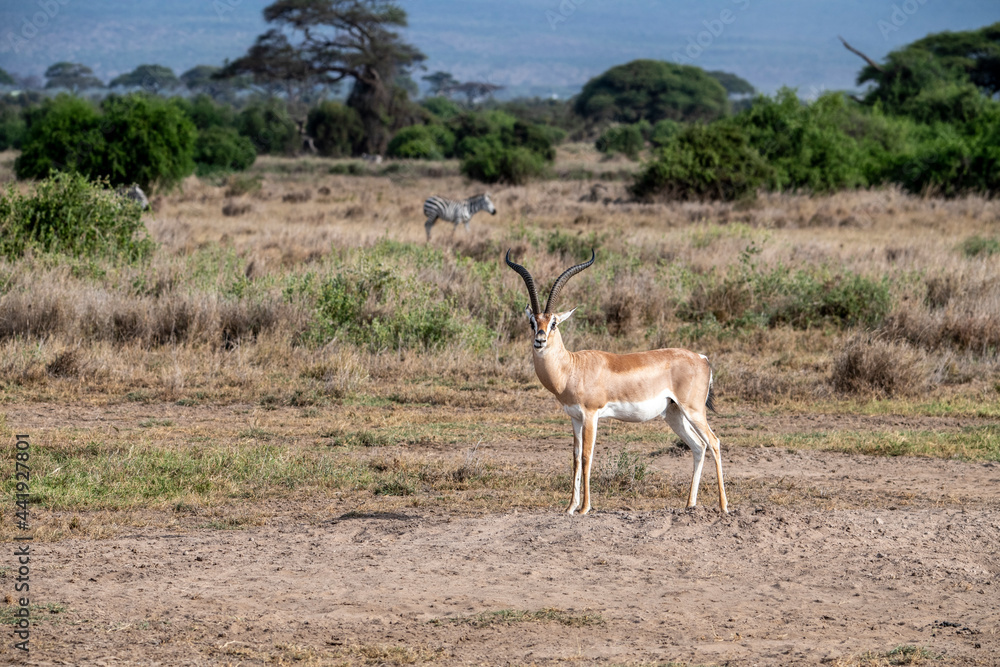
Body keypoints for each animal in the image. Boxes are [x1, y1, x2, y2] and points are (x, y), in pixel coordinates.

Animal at [505, 249, 728, 515]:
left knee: (714, 442)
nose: (539, 340)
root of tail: (703, 358)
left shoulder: (591, 415)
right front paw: (570, 507)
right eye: (533, 322)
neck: (572, 368)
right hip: (674, 414)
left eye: (554, 323)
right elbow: (575, 458)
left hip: (693, 410)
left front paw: (584, 508)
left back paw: (723, 506)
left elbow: (587, 457)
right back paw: (689, 505)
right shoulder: (574, 418)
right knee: (698, 446)